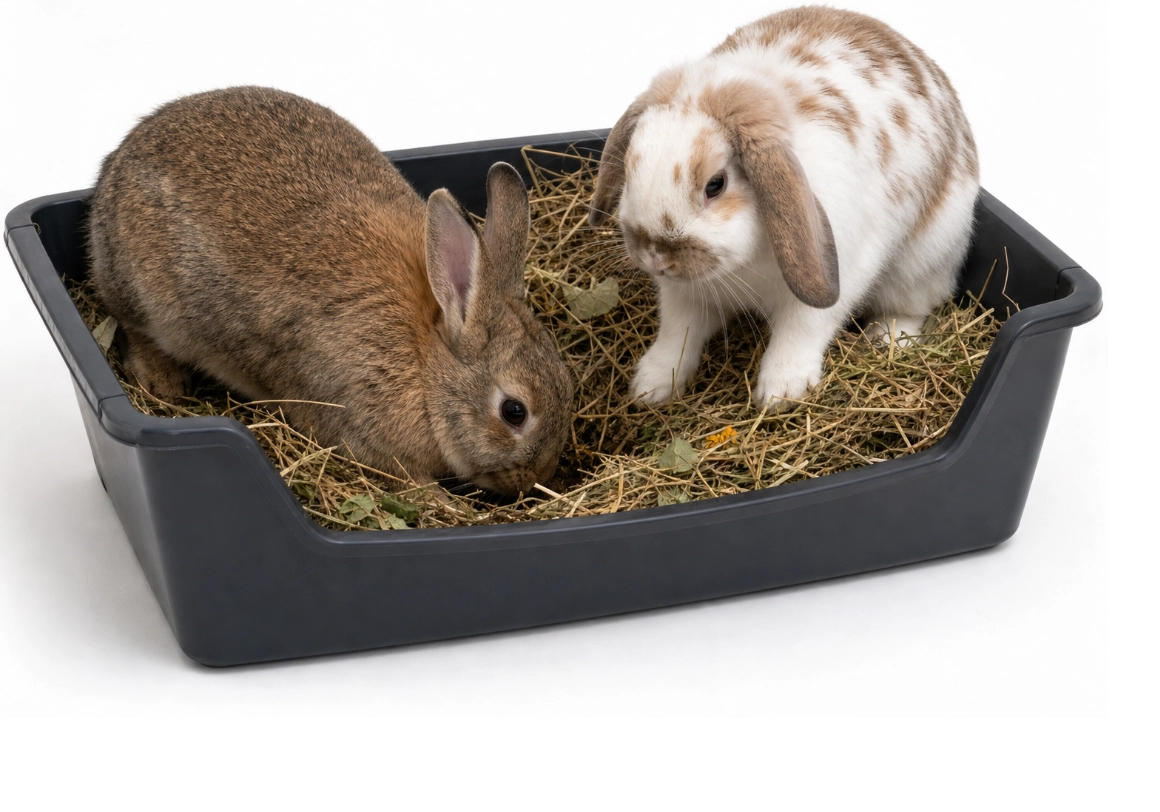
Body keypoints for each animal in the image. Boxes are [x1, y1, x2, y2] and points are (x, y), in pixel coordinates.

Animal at [87, 86, 573, 497]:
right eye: (514, 412)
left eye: (567, 381)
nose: (537, 478)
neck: (425, 360)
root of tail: (116, 162)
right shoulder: (361, 426)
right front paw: (440, 503)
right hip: (143, 293)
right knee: (132, 325)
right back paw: (163, 383)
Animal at [589, 6, 980, 408]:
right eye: (630, 166)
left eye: (716, 184)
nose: (655, 257)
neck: (746, 265)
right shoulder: (686, 295)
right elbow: (678, 334)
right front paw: (650, 387)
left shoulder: (834, 279)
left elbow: (801, 331)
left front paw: (782, 392)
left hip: (921, 267)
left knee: (911, 310)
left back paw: (886, 340)